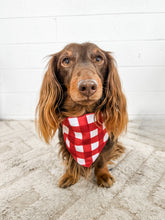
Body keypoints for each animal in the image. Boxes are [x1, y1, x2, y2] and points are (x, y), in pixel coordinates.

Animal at [35, 42, 127, 187]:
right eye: (66, 61)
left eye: (99, 59)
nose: (88, 86)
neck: (83, 117)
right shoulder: (65, 140)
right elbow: (70, 159)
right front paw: (70, 175)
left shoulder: (109, 140)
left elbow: (102, 160)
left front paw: (103, 175)